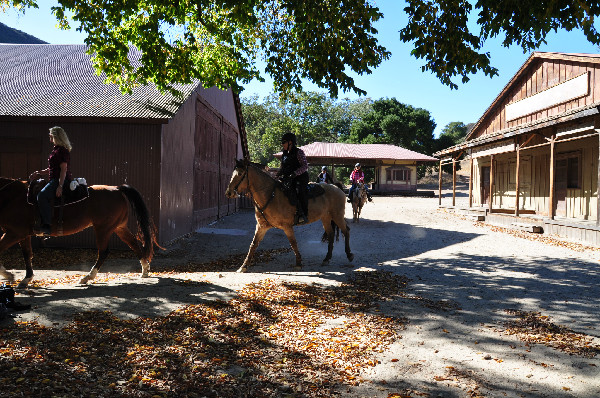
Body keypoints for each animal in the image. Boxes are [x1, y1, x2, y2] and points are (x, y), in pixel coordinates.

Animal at [0, 176, 159, 286]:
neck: (13, 196)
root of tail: (117, 189)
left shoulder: (15, 233)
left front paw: (8, 275)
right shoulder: (22, 235)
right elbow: (27, 255)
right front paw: (25, 279)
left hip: (103, 229)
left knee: (104, 252)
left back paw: (87, 277)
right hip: (119, 227)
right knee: (134, 244)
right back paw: (145, 269)